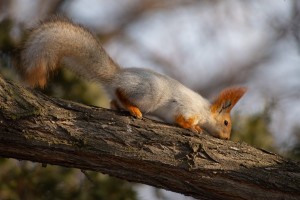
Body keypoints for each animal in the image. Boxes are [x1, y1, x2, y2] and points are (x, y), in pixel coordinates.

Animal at [17, 16, 246, 140]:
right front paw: (194, 128)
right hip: (147, 93)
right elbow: (182, 120)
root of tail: (115, 77)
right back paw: (132, 109)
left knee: (113, 100)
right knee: (120, 95)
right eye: (226, 122)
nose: (227, 138)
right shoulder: (187, 109)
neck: (205, 111)